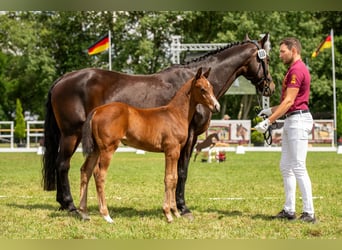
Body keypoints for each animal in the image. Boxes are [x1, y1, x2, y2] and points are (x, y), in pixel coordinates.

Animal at [78, 67, 219, 223]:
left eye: (211, 88)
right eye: (202, 89)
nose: (216, 107)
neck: (175, 114)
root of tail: (97, 110)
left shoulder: (175, 152)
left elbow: (174, 178)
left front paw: (175, 212)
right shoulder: (171, 150)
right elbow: (169, 178)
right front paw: (168, 214)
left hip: (96, 149)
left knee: (86, 171)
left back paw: (84, 213)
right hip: (108, 149)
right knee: (99, 174)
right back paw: (106, 215)